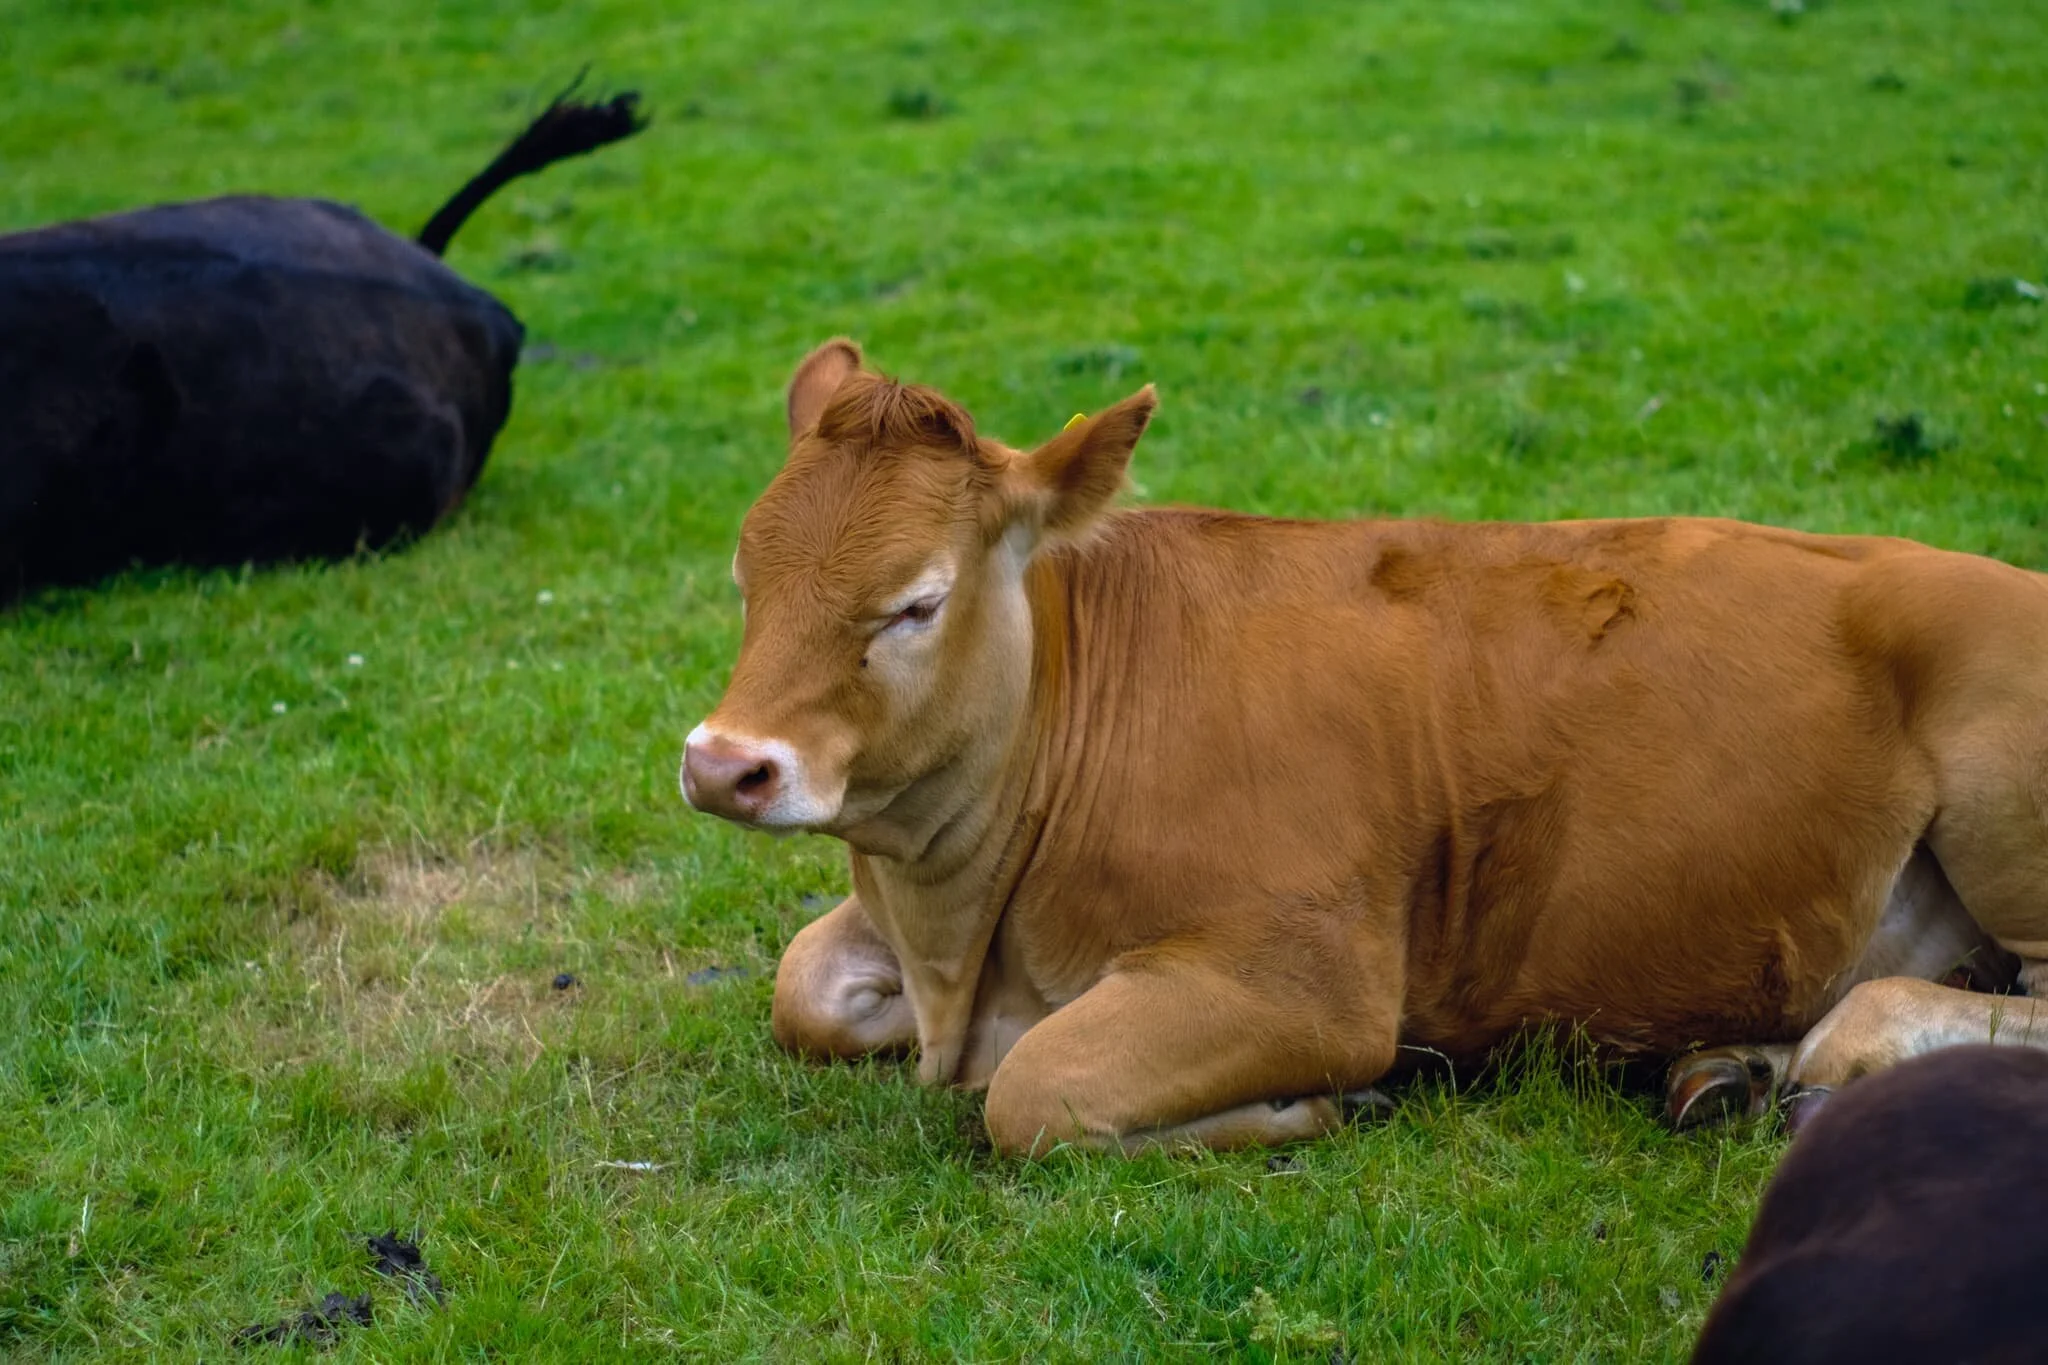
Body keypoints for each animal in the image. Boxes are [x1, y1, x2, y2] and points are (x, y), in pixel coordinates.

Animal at [680, 339, 2048, 1156]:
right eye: (744, 576)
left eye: (914, 602)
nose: (722, 764)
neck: (957, 942)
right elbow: (800, 985)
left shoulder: (1306, 978)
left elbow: (1036, 1091)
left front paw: (1314, 1105)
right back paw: (1727, 1067)